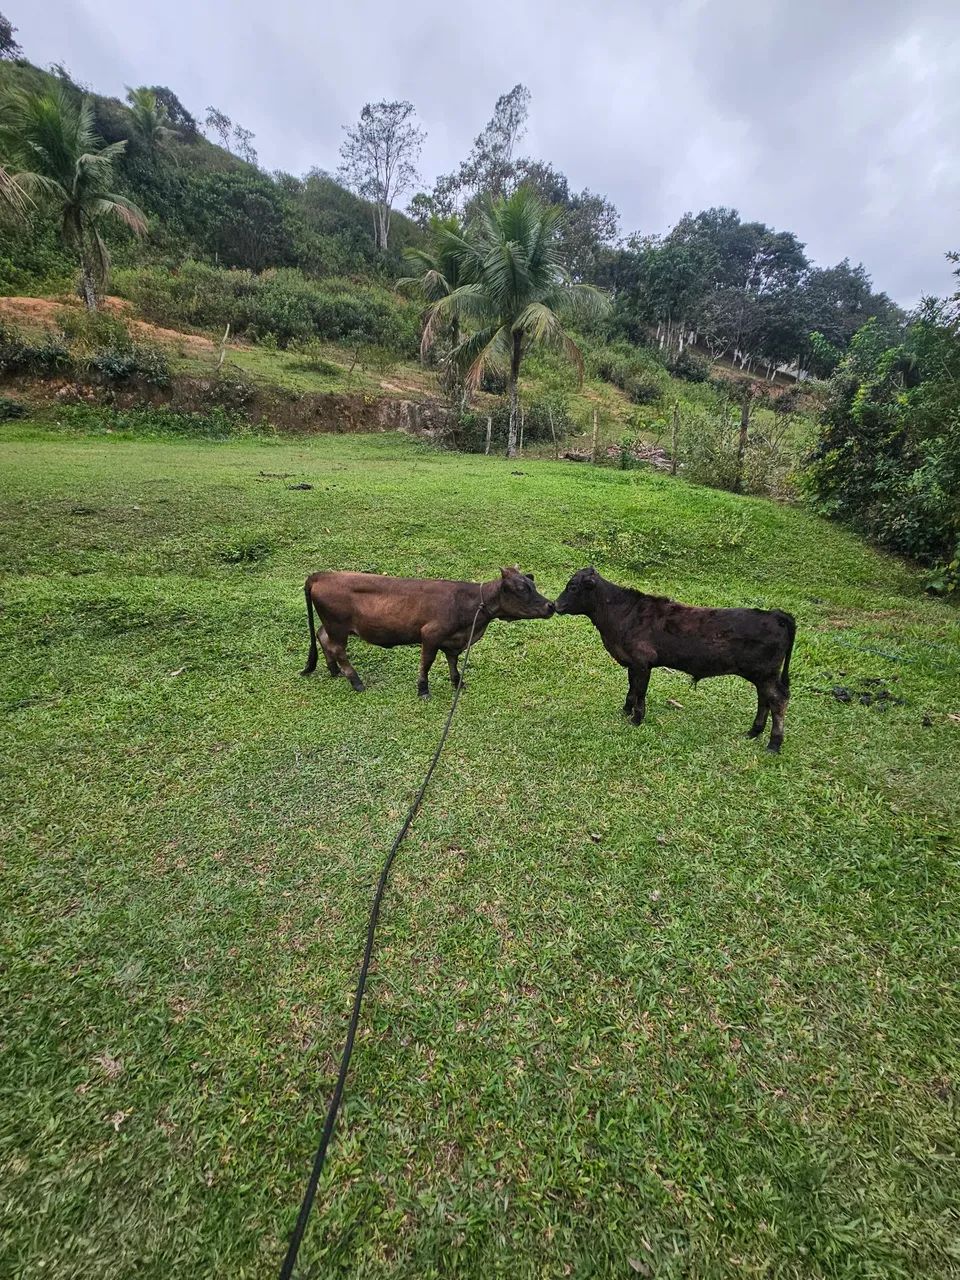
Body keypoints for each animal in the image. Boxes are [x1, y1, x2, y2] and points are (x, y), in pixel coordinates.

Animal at [301, 566, 555, 698]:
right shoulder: (430, 635)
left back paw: (334, 671)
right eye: (522, 588)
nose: (550, 605)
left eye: (532, 584)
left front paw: (458, 683)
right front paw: (423, 689)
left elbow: (453, 662)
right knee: (338, 649)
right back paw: (355, 681)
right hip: (338, 626)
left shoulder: (453, 641)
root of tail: (322, 575)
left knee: (322, 637)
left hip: (333, 626)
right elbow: (427, 663)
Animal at [555, 567, 796, 751]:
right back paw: (753, 732)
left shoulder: (642, 662)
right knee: (764, 699)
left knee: (778, 700)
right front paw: (625, 710)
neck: (622, 614)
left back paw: (774, 744)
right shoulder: (633, 663)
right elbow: (632, 688)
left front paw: (636, 719)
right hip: (762, 675)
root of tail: (775, 615)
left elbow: (640, 691)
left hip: (765, 674)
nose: (556, 606)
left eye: (572, 587)